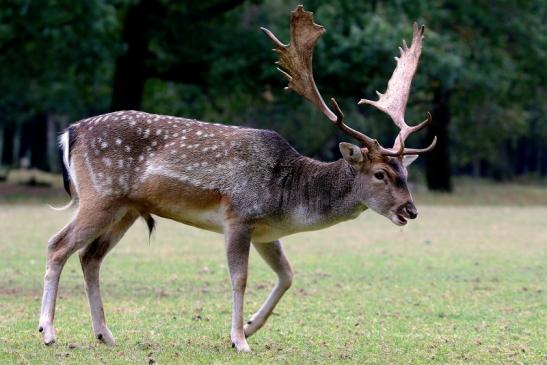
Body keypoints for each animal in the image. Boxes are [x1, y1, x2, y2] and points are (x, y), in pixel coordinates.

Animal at [38, 4, 436, 352]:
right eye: (380, 173)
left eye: (405, 172)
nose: (411, 210)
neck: (288, 198)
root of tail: (70, 132)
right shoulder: (239, 217)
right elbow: (239, 278)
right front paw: (239, 340)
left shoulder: (266, 232)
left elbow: (287, 275)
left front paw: (250, 327)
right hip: (100, 196)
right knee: (58, 244)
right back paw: (47, 331)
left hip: (127, 209)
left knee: (89, 256)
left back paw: (105, 334)